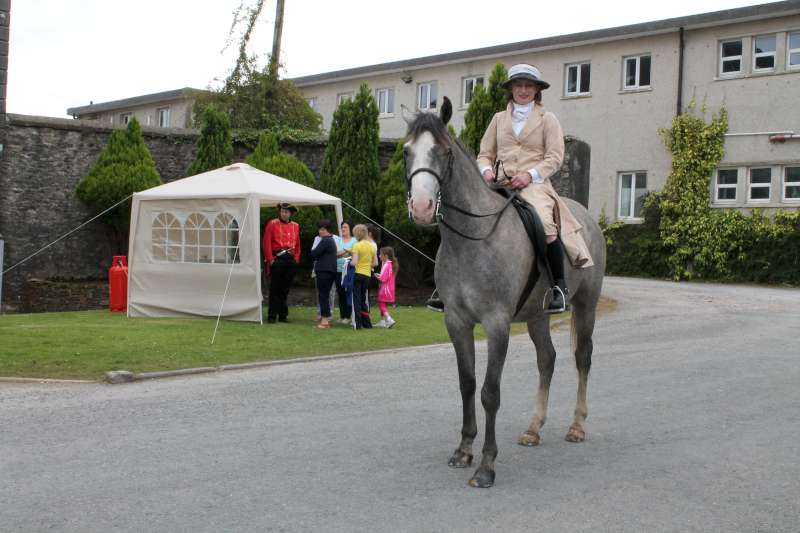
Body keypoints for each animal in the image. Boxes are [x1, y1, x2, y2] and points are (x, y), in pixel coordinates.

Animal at [406, 97, 608, 488]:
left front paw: (486, 465)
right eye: (407, 151)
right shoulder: (457, 322)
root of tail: (585, 217)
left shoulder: (497, 324)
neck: (472, 238)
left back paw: (577, 426)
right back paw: (533, 429)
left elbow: (489, 392)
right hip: (537, 317)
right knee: (547, 359)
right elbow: (467, 384)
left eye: (442, 151)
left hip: (586, 305)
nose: (420, 208)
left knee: (582, 358)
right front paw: (463, 450)